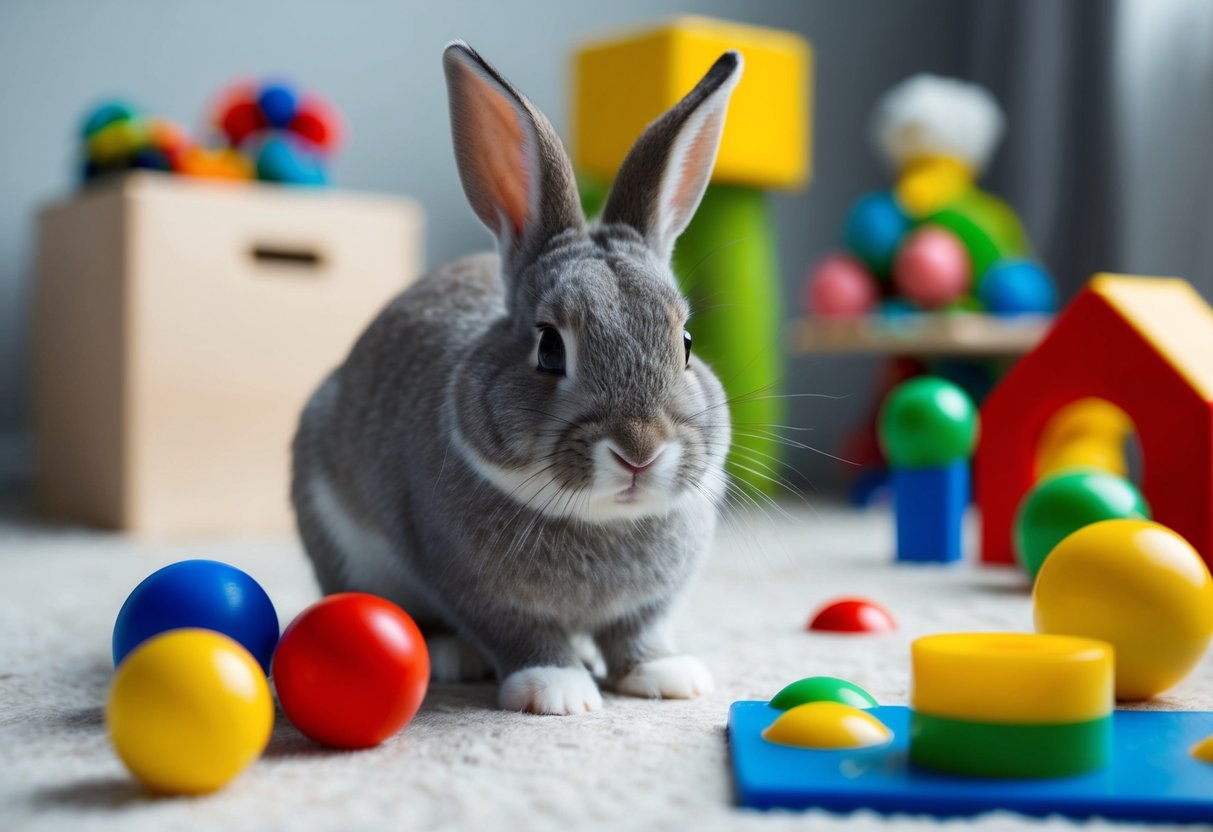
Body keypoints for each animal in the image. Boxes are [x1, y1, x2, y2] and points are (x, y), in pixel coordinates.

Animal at [291, 41, 742, 715]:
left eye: (685, 344)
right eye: (550, 348)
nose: (639, 451)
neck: (601, 517)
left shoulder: (651, 605)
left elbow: (641, 632)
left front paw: (667, 678)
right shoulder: (478, 589)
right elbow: (522, 635)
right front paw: (557, 691)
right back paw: (456, 656)